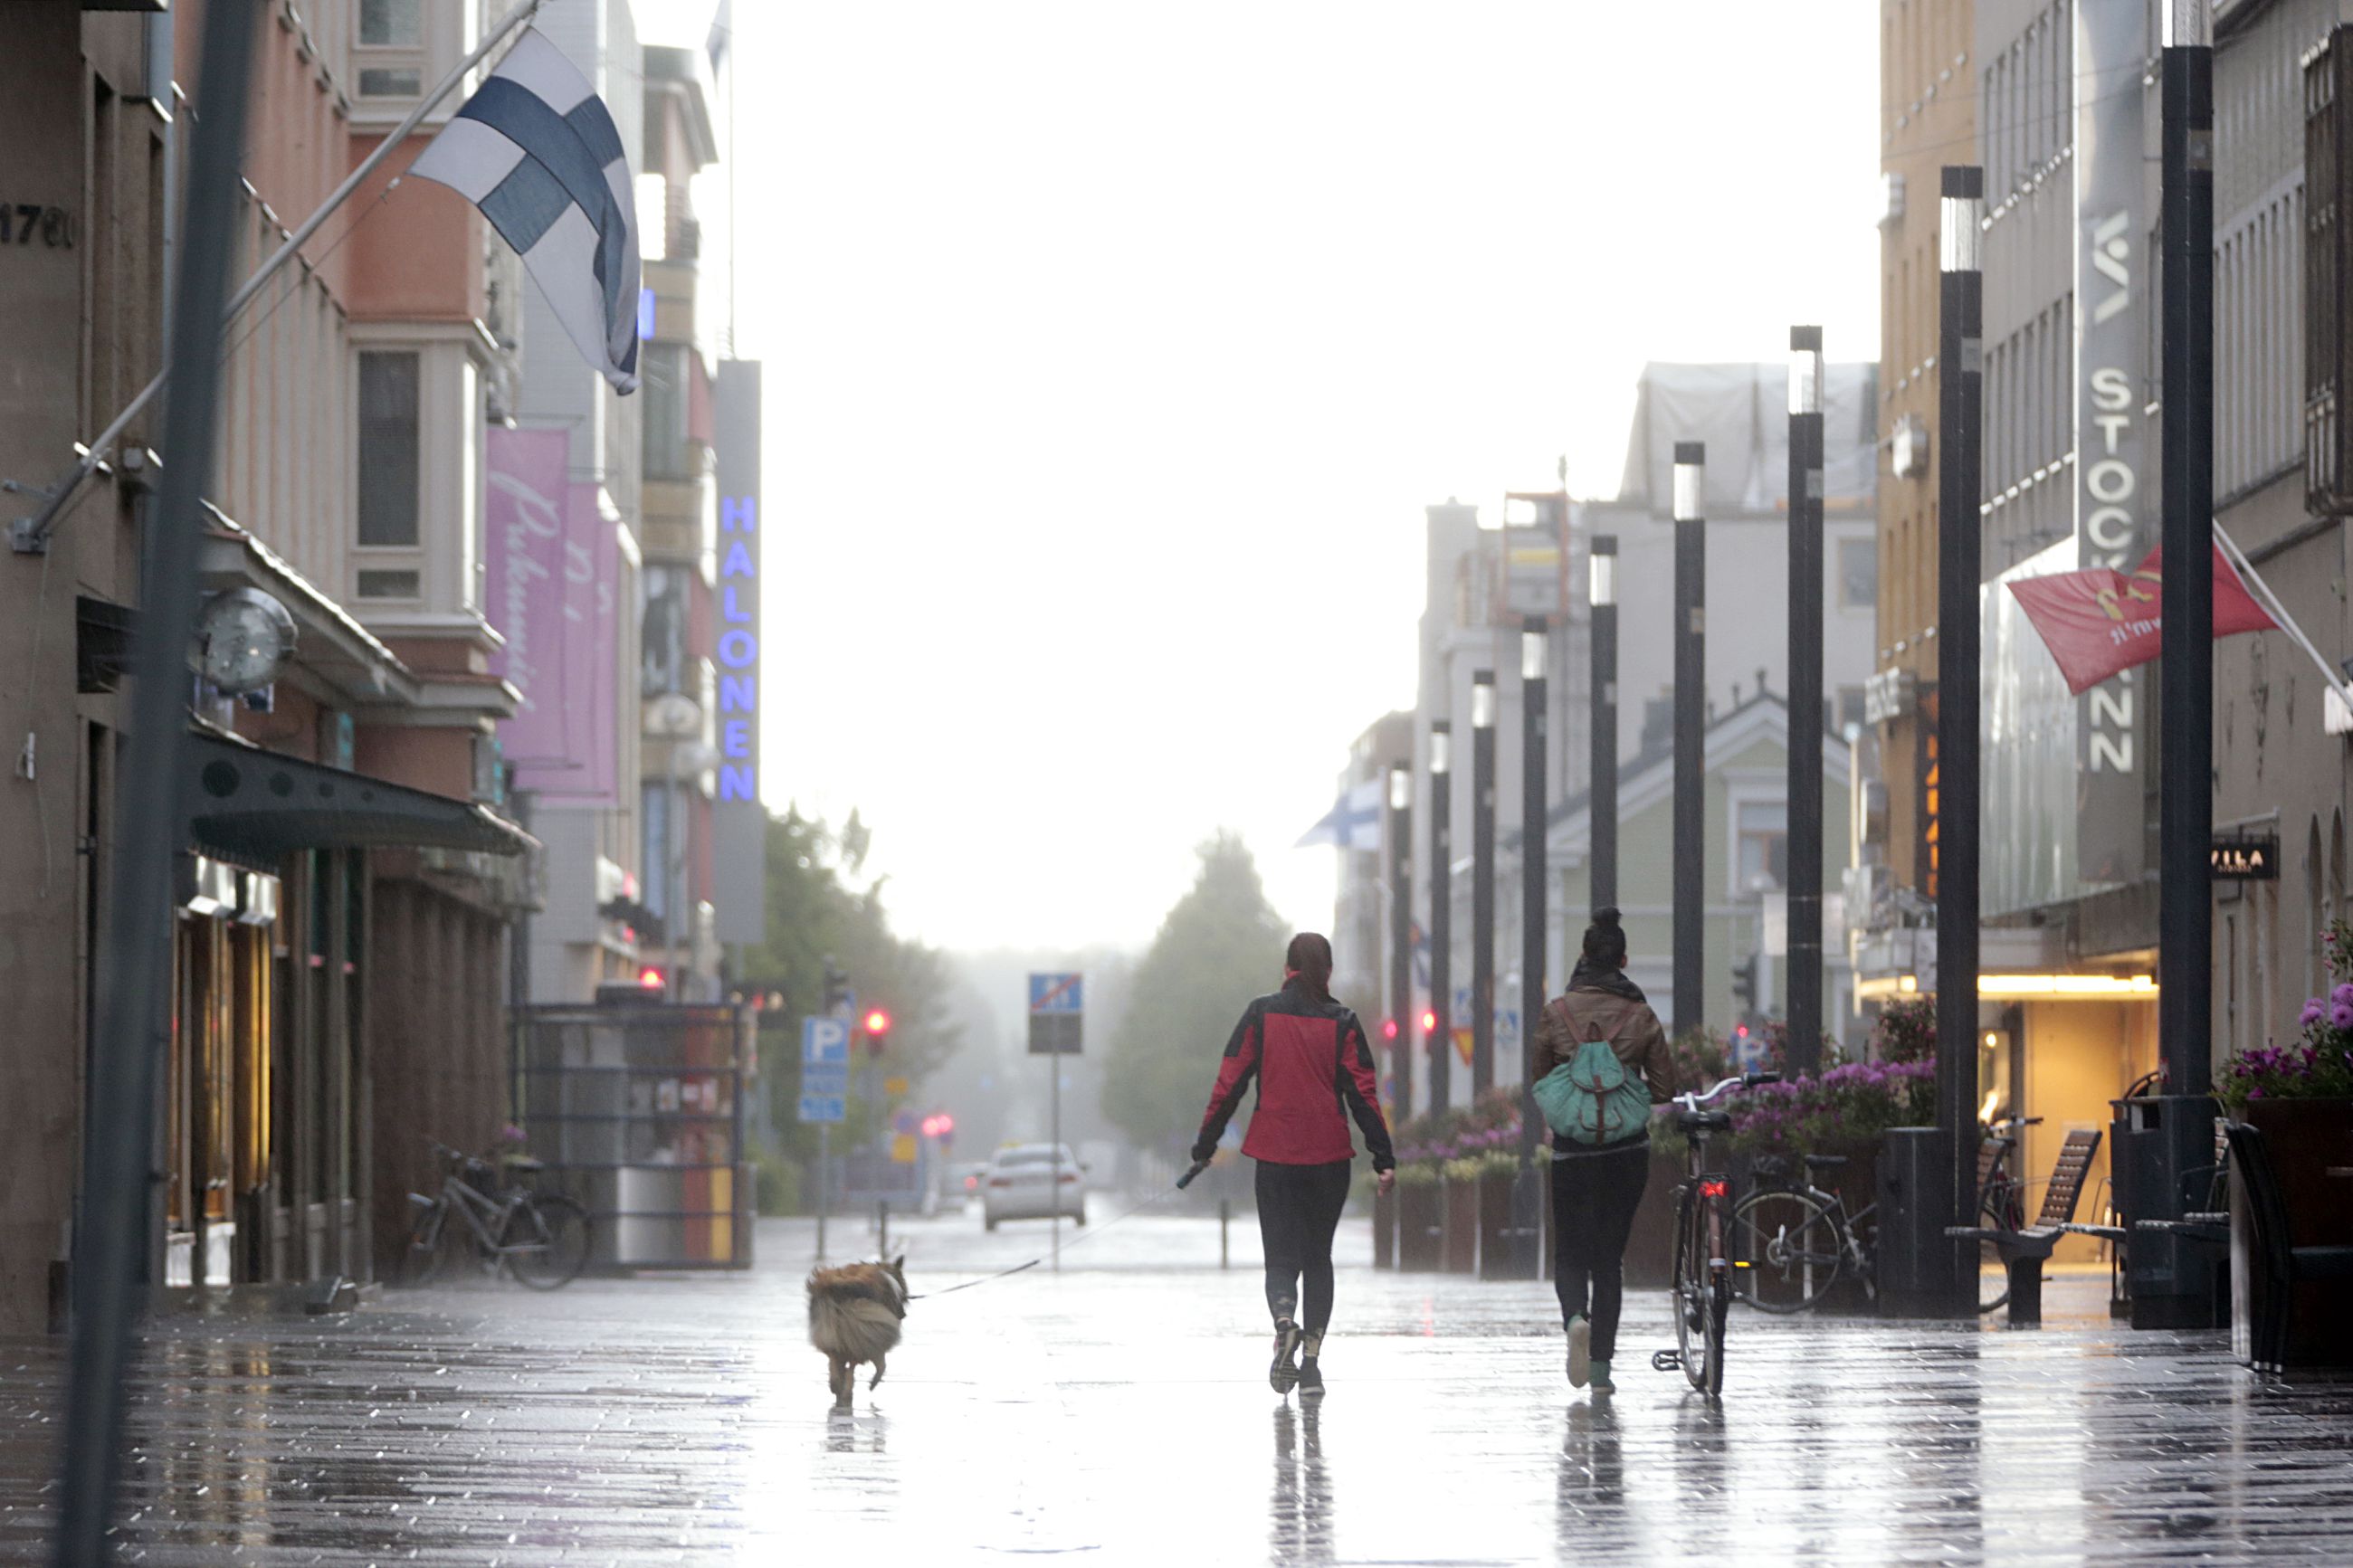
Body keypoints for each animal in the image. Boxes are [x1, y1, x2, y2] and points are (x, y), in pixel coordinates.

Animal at [805, 1259, 903, 1410]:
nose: (903, 1314)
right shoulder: (872, 1336)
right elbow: (881, 1365)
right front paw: (873, 1383)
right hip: (859, 1333)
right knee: (852, 1366)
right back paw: (846, 1392)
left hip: (832, 1331)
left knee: (835, 1359)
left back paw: (836, 1386)